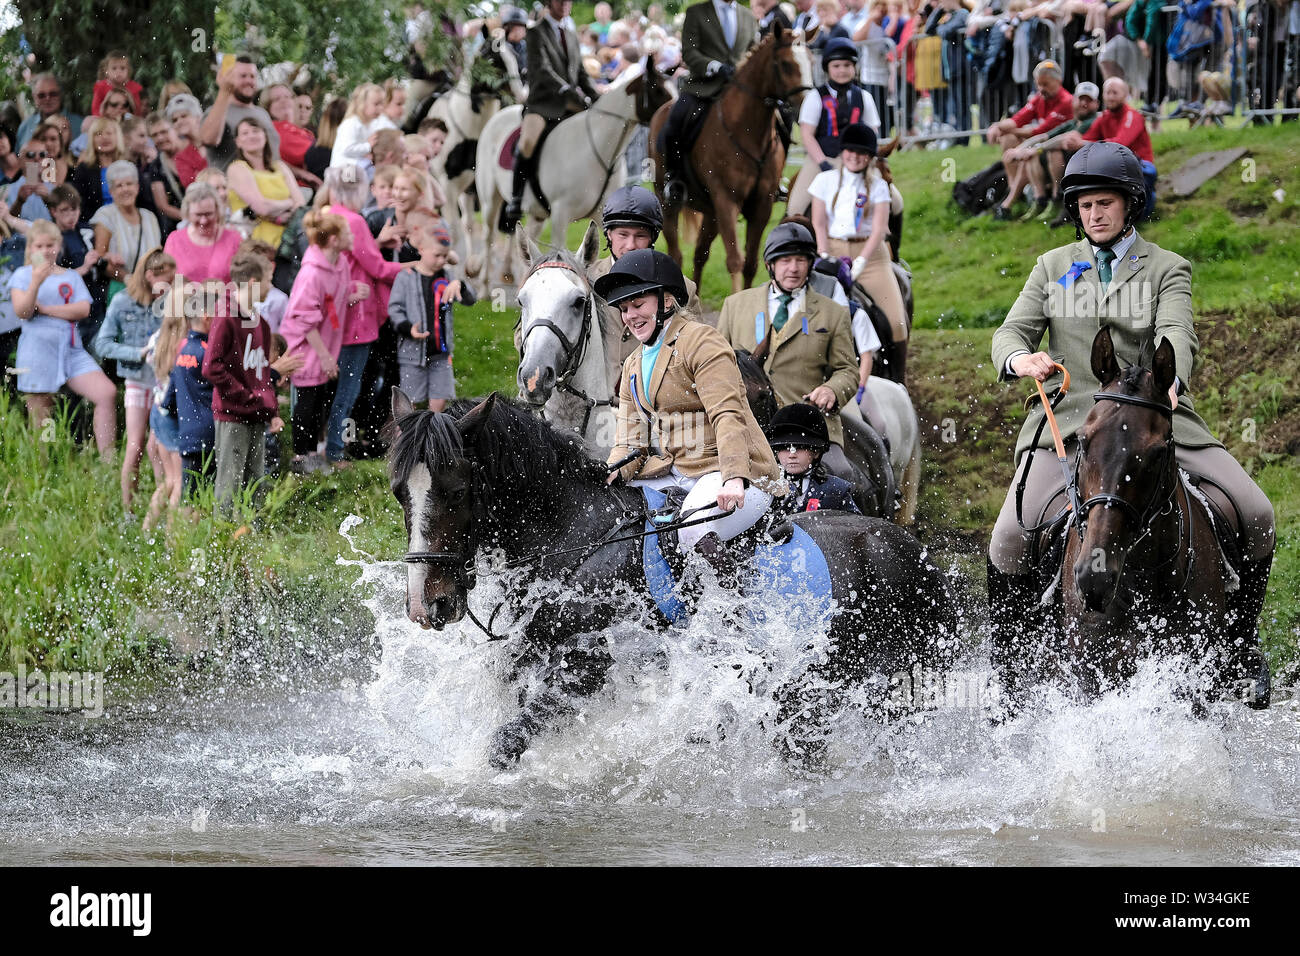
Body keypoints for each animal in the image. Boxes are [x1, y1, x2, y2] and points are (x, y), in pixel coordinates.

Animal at [384, 390, 956, 770]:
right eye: (399, 493)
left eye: (457, 490)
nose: (427, 605)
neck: (578, 536)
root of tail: (906, 544)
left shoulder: (586, 670)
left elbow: (506, 743)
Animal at [475, 58, 670, 290]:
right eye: (658, 90)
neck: (596, 150)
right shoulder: (561, 213)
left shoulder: (602, 214)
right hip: (490, 200)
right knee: (488, 236)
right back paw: (484, 285)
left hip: (537, 213)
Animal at [650, 27, 811, 295]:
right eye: (786, 64)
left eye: (811, 61)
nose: (807, 108)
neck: (748, 131)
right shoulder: (727, 200)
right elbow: (735, 260)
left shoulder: (761, 206)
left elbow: (751, 263)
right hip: (668, 202)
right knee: (676, 253)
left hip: (711, 213)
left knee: (700, 254)